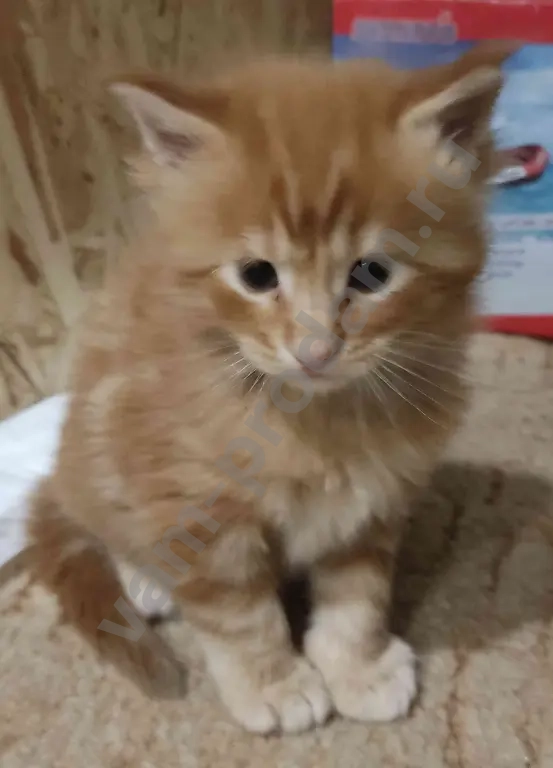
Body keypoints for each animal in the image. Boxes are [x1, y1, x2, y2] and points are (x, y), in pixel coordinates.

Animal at [28, 43, 513, 734]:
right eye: (257, 276)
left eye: (371, 274)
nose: (316, 351)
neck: (316, 421)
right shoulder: (194, 503)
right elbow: (239, 614)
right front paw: (275, 683)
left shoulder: (375, 497)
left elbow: (359, 594)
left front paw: (356, 666)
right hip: (96, 447)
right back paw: (145, 577)